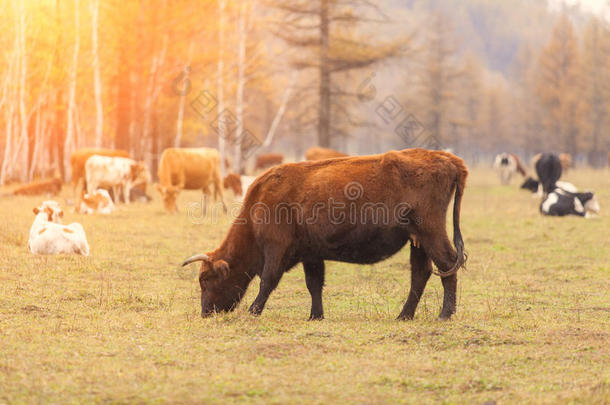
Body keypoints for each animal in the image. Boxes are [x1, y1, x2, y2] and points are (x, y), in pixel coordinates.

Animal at [180, 148, 466, 318]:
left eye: (206, 279)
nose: (206, 312)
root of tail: (448, 159)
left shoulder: (275, 248)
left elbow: (268, 280)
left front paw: (253, 311)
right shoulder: (311, 254)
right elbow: (314, 284)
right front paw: (315, 315)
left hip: (430, 232)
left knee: (447, 264)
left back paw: (444, 314)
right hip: (417, 240)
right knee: (421, 273)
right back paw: (403, 316)